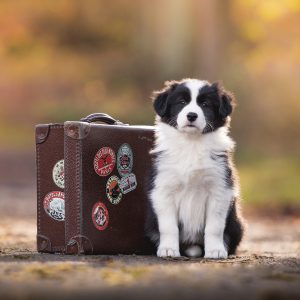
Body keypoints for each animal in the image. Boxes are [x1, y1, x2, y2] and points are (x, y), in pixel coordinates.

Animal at [146, 78, 245, 258]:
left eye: (205, 104)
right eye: (181, 102)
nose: (191, 115)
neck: (191, 143)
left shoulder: (219, 188)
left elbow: (215, 226)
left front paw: (216, 250)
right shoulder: (163, 189)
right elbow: (168, 226)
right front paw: (168, 249)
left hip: (237, 224)